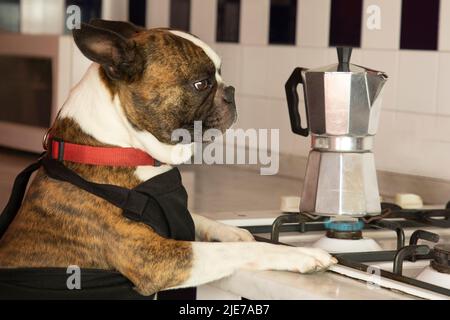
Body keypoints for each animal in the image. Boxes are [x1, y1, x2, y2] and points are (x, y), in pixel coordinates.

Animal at [0, 20, 334, 296]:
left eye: (220, 73)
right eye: (201, 83)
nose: (231, 91)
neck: (120, 147)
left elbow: (200, 218)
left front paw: (235, 232)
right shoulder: (161, 258)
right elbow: (235, 253)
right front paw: (301, 255)